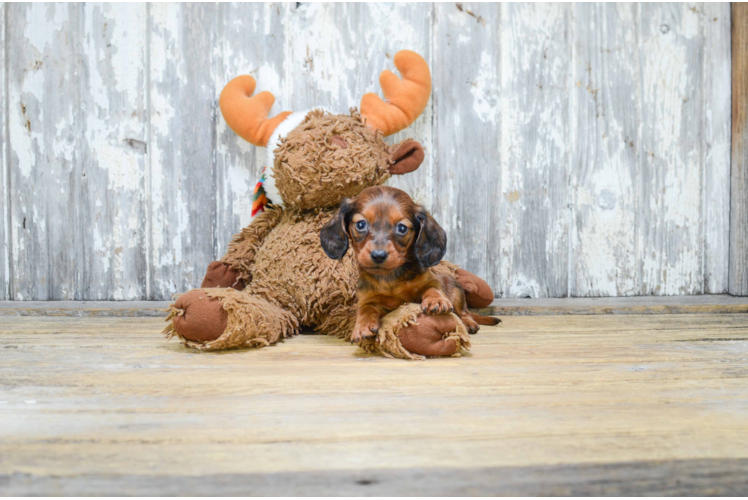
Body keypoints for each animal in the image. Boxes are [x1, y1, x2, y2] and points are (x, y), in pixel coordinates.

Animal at [320, 186, 500, 346]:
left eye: (402, 228)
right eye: (361, 224)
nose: (378, 255)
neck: (390, 278)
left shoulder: (430, 281)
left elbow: (433, 288)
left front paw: (436, 300)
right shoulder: (368, 298)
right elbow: (365, 309)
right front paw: (361, 327)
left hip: (456, 291)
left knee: (464, 312)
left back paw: (469, 323)